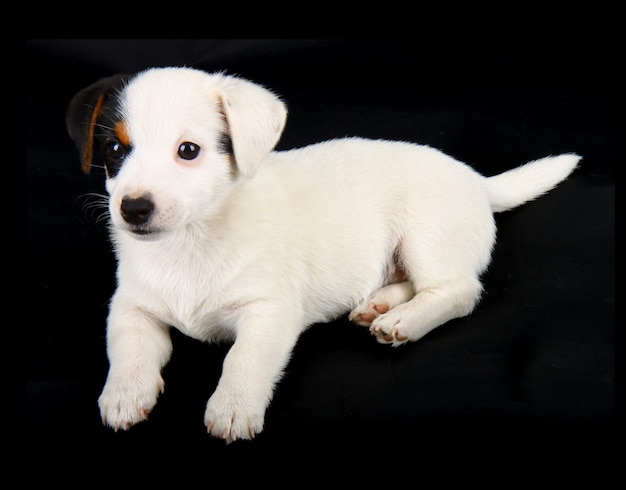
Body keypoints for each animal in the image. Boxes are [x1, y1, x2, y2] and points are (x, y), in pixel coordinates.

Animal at [66, 66, 576, 444]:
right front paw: (124, 392)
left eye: (188, 150)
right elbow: (127, 346)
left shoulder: (269, 311)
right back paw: (380, 304)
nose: (133, 209)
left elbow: (243, 358)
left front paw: (232, 406)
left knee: (458, 290)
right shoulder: (130, 304)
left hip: (426, 233)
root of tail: (478, 182)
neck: (191, 242)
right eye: (115, 148)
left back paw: (404, 320)